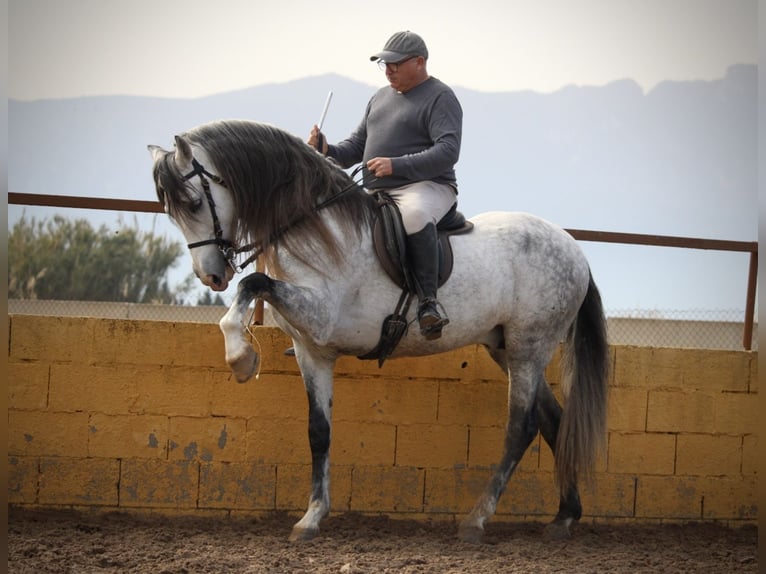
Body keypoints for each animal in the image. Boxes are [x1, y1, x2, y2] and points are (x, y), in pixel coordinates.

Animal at [147, 120, 608, 544]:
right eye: (172, 211)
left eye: (193, 203)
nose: (212, 276)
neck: (316, 228)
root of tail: (572, 248)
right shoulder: (311, 349)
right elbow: (319, 432)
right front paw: (311, 517)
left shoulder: (319, 315)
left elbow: (252, 284)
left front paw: (241, 359)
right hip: (505, 347)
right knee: (553, 420)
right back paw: (564, 517)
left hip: (530, 346)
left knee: (521, 427)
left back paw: (477, 520)